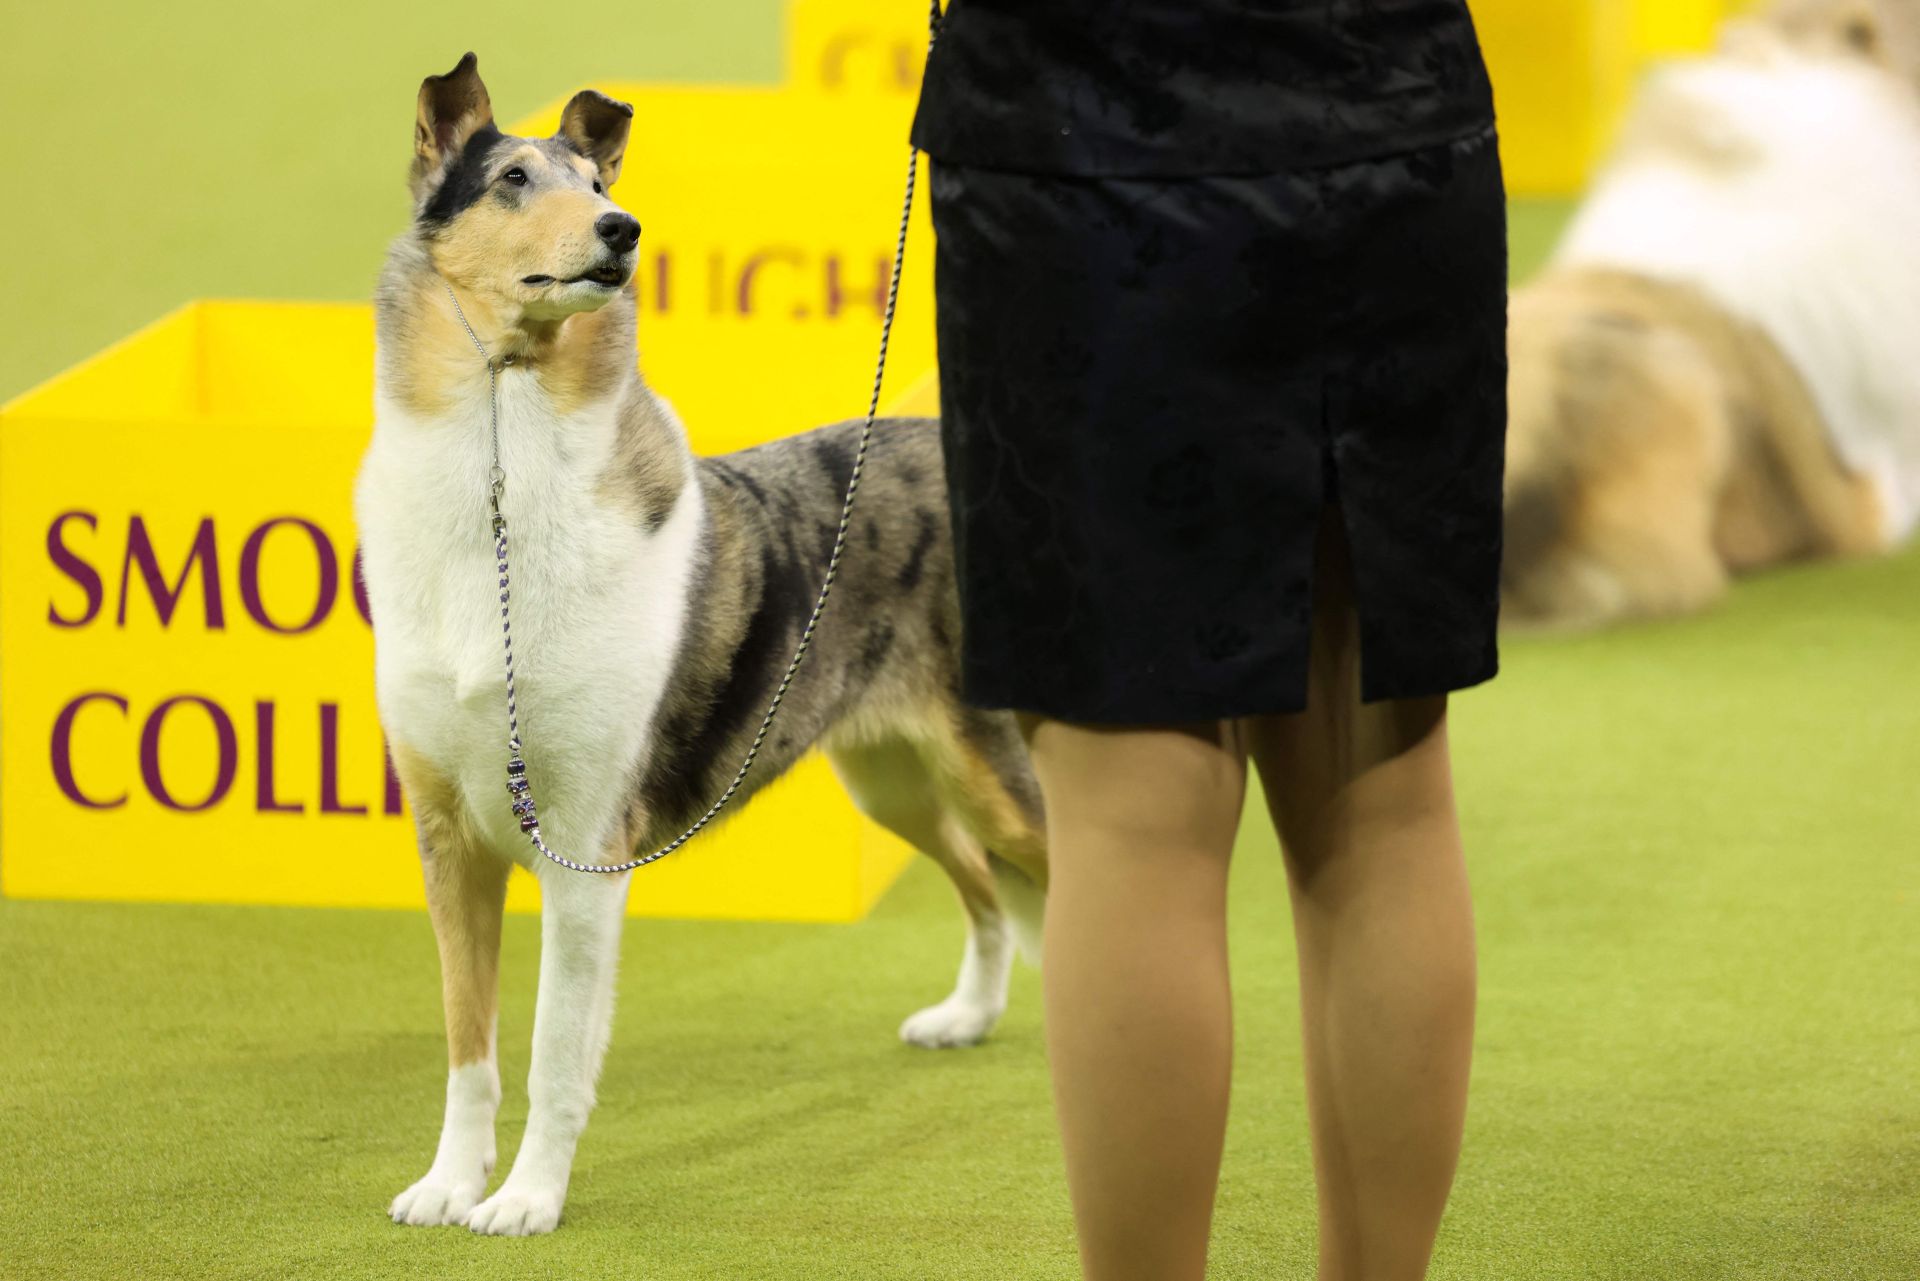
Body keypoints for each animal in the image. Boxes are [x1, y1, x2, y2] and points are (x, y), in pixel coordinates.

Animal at [360, 55, 1052, 1236]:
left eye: (599, 182)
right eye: (511, 179)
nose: (621, 229)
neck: (499, 479)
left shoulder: (583, 847)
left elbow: (551, 1053)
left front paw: (526, 1202)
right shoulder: (447, 838)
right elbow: (469, 1046)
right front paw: (449, 1185)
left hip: (993, 770)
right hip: (895, 779)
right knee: (986, 887)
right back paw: (966, 1016)